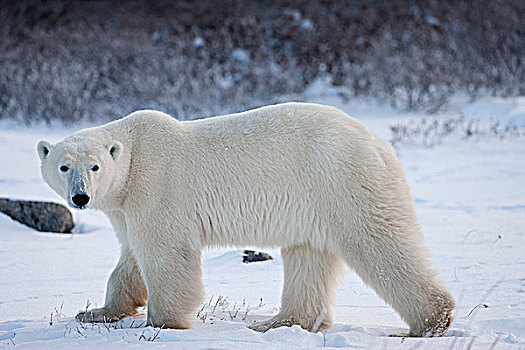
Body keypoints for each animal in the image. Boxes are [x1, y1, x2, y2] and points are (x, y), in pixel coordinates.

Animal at [37, 103, 454, 336]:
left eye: (94, 166)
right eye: (63, 166)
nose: (80, 197)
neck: (134, 155)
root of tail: (379, 142)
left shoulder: (157, 187)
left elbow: (166, 253)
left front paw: (164, 322)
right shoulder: (125, 207)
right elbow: (130, 260)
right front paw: (96, 312)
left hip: (344, 182)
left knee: (381, 244)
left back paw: (430, 323)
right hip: (315, 204)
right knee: (309, 257)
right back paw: (278, 322)